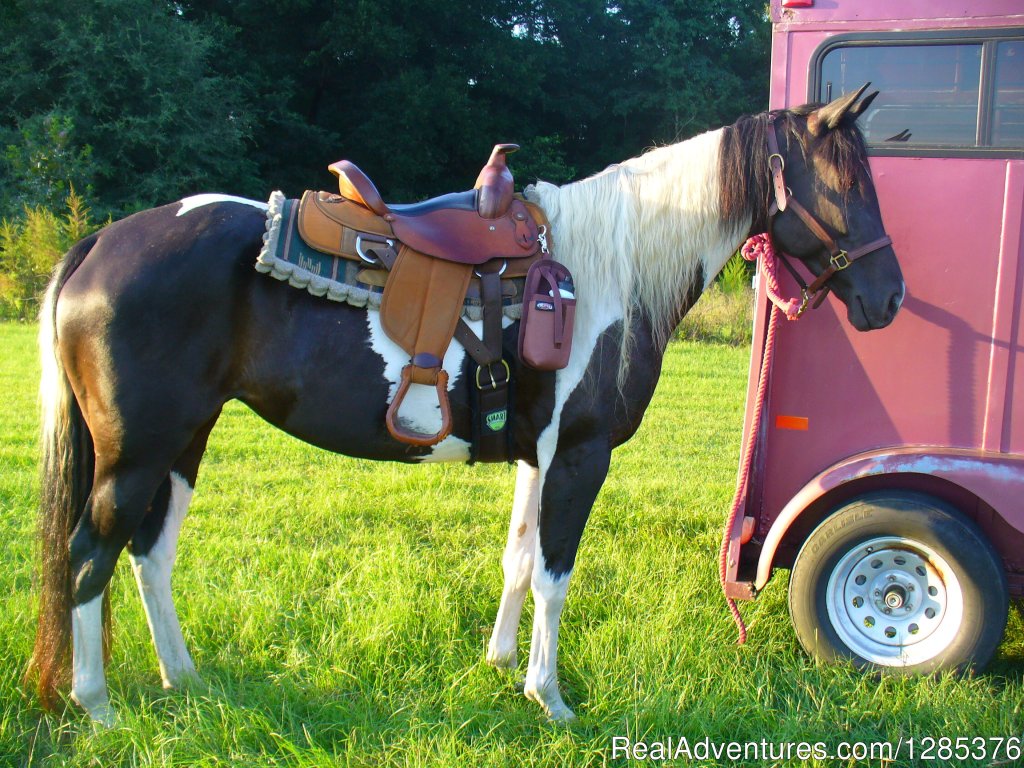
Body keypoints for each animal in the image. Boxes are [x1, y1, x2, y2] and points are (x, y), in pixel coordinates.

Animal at [25, 87, 905, 724]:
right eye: (846, 183)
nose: (889, 297)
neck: (606, 270)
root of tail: (97, 245)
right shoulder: (578, 455)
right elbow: (554, 572)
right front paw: (550, 699)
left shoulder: (535, 457)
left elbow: (518, 559)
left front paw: (501, 665)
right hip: (138, 451)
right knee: (89, 554)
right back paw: (97, 706)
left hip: (183, 442)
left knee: (149, 553)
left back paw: (184, 679)